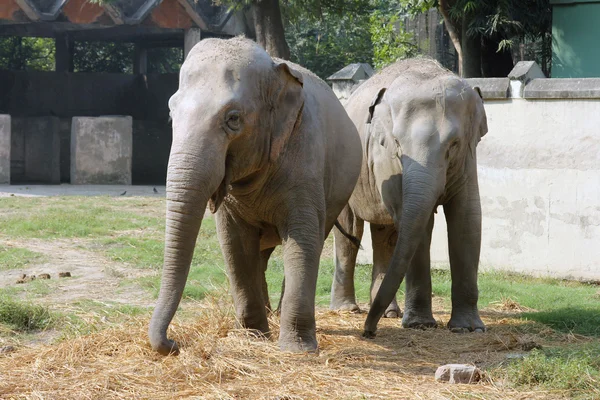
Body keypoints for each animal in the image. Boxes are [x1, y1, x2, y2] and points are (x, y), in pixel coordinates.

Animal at [146, 37, 360, 354]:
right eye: (172, 112)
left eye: (233, 119)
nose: (173, 343)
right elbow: (234, 244)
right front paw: (253, 337)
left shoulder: (306, 157)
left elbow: (303, 238)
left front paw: (296, 350)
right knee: (259, 254)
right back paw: (269, 315)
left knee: (314, 240)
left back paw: (280, 315)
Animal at [330, 57, 490, 338]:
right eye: (397, 143)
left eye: (454, 144)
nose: (368, 332)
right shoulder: (385, 159)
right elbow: (419, 225)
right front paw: (420, 325)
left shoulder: (468, 160)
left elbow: (467, 219)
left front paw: (469, 328)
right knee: (350, 234)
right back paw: (346, 309)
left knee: (385, 235)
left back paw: (389, 313)